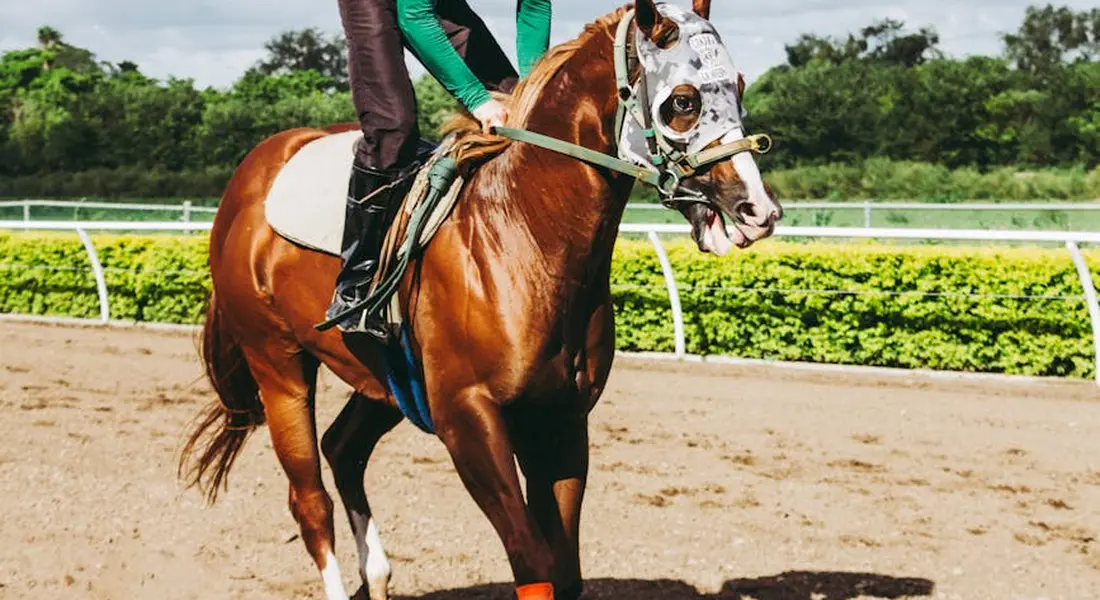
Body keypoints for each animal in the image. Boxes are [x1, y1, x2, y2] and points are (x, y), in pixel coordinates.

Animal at [177, 1, 782, 599]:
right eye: (682, 101)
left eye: (739, 86)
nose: (760, 210)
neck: (524, 235)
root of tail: (251, 175)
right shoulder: (467, 418)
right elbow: (533, 562)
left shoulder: (561, 418)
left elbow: (565, 568)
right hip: (277, 365)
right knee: (310, 502)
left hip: (383, 382)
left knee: (343, 450)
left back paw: (378, 573)